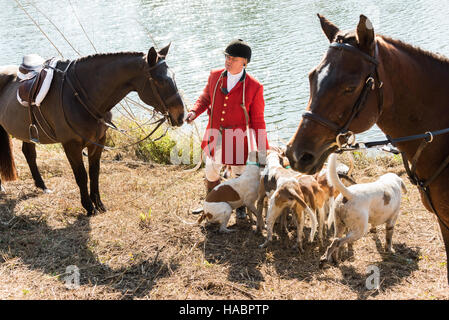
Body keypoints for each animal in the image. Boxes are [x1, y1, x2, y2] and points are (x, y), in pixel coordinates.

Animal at [0, 44, 185, 215]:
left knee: (29, 154)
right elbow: (81, 175)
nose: (181, 115)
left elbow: (94, 172)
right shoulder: (71, 145)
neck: (79, 95)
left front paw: (99, 204)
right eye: (160, 81)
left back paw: (42, 186)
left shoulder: (98, 141)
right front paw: (88, 207)